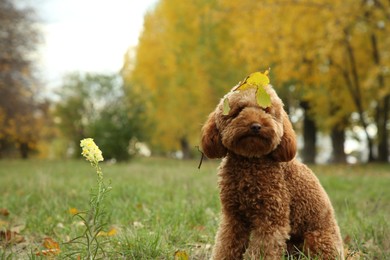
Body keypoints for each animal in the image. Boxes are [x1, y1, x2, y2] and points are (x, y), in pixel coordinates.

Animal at [201, 86, 344, 260]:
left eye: (266, 110)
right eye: (239, 110)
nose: (256, 126)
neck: (250, 161)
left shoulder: (271, 218)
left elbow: (263, 249)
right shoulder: (233, 217)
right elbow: (226, 245)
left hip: (315, 240)